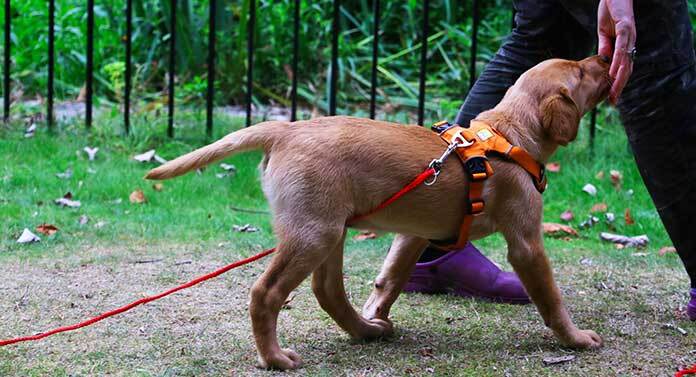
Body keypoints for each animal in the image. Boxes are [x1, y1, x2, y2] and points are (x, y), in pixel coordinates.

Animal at [147, 55, 608, 370]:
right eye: (581, 73)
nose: (606, 58)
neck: (507, 135)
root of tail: (286, 128)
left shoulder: (415, 233)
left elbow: (391, 278)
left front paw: (377, 313)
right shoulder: (526, 244)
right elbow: (551, 297)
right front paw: (575, 338)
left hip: (332, 229)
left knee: (327, 290)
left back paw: (365, 330)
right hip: (315, 233)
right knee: (266, 293)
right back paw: (275, 358)